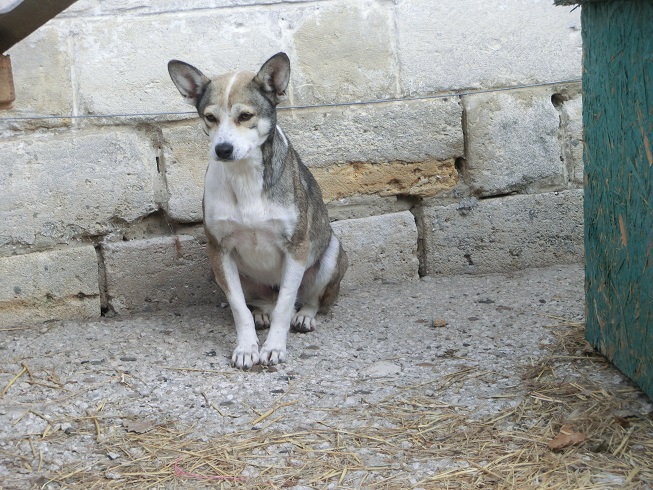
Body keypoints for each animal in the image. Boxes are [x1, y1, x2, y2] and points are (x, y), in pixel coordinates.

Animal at [168, 53, 348, 369]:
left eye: (245, 116)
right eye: (210, 117)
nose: (223, 149)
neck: (244, 176)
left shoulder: (296, 247)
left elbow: (286, 304)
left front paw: (274, 347)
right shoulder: (219, 250)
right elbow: (239, 308)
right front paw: (246, 347)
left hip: (331, 254)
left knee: (308, 301)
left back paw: (303, 316)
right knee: (262, 303)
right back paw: (262, 312)